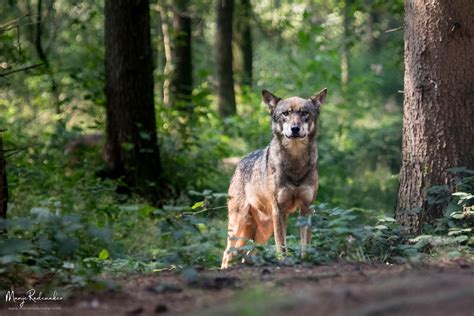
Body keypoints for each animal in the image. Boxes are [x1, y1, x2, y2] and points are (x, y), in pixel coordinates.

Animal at [221, 87, 326, 268]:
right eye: (286, 113)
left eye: (304, 113)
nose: (295, 128)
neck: (295, 162)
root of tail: (240, 162)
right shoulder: (279, 211)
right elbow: (281, 245)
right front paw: (284, 261)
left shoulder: (306, 208)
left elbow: (305, 244)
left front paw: (305, 260)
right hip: (239, 225)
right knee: (227, 253)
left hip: (264, 231)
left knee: (247, 254)